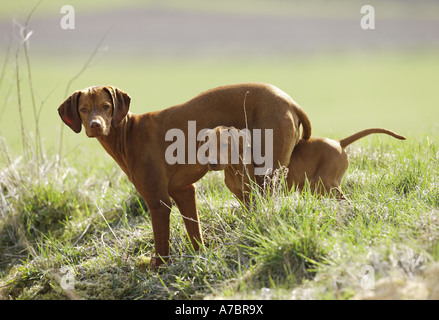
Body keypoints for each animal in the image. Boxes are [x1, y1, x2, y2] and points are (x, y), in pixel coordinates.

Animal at [58, 83, 312, 268]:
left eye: (105, 106)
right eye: (83, 109)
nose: (95, 125)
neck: (127, 134)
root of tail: (289, 101)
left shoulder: (158, 202)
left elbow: (161, 243)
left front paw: (159, 269)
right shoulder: (184, 191)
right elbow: (194, 232)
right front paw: (201, 256)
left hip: (266, 173)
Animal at [205, 126, 408, 201]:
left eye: (225, 144)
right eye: (209, 145)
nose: (212, 163)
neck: (233, 168)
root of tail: (338, 142)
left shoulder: (259, 193)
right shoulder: (243, 197)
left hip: (326, 183)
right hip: (319, 187)